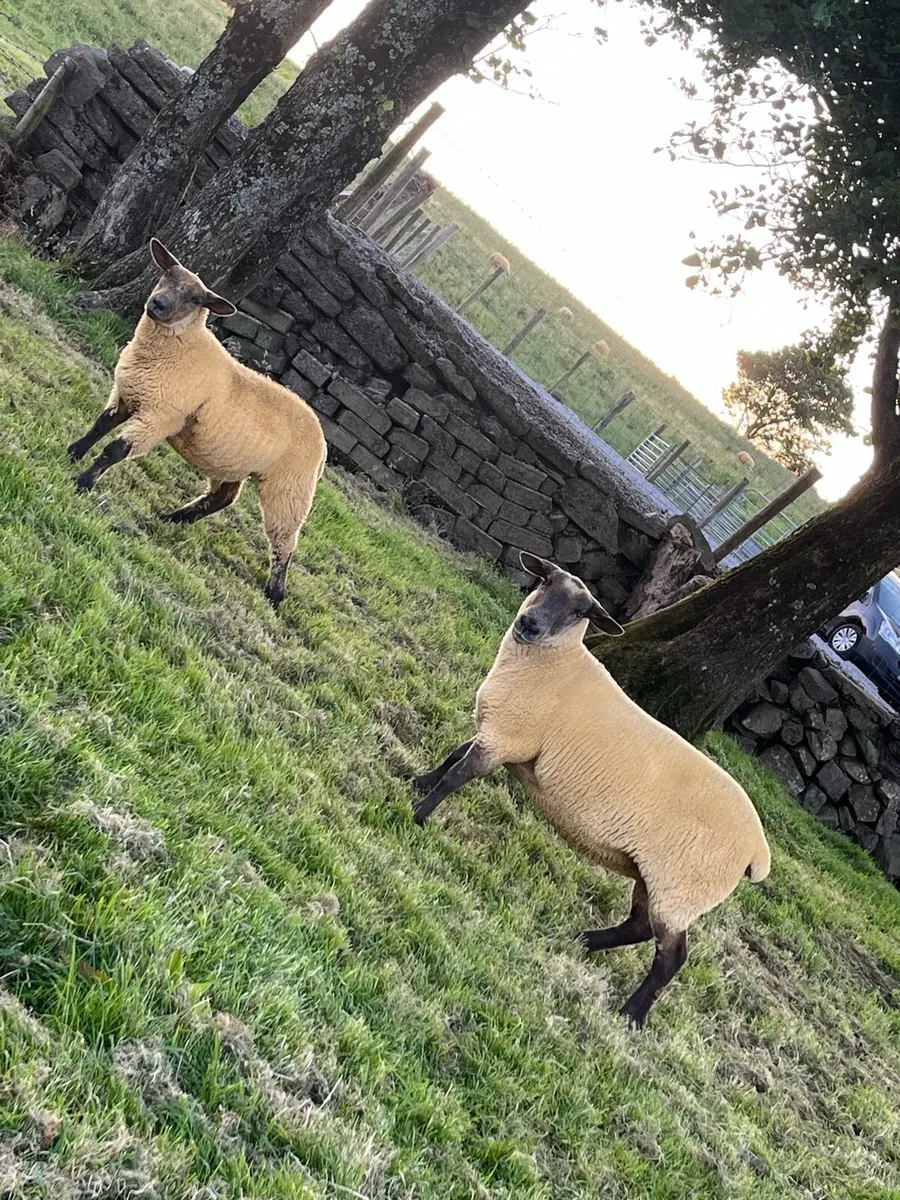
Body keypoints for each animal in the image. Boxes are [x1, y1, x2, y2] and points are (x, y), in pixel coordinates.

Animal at [68, 239, 327, 608]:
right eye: (166, 275)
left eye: (195, 299)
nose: (158, 304)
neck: (178, 348)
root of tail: (323, 441)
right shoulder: (130, 394)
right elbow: (99, 426)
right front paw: (73, 453)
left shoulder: (161, 415)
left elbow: (115, 449)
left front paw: (83, 482)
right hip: (236, 462)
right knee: (224, 498)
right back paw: (175, 518)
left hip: (289, 487)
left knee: (285, 541)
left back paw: (275, 594)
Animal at [411, 553, 770, 1027]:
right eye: (545, 580)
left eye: (581, 611)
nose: (530, 624)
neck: (553, 665)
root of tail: (757, 850)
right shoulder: (500, 733)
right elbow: (454, 756)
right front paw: (418, 781)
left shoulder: (508, 736)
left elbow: (458, 775)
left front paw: (418, 815)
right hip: (653, 877)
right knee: (638, 927)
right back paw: (583, 940)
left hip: (681, 888)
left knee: (672, 957)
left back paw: (631, 1014)